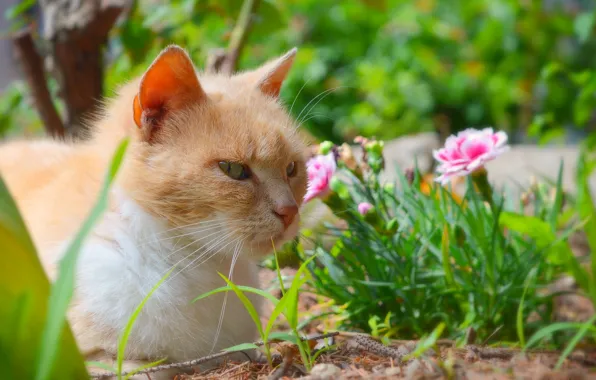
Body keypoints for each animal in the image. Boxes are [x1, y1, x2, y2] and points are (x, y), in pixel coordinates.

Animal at [0, 44, 308, 378]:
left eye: (291, 168)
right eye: (234, 170)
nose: (289, 211)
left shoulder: (234, 350)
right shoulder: (92, 359)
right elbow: (150, 367)